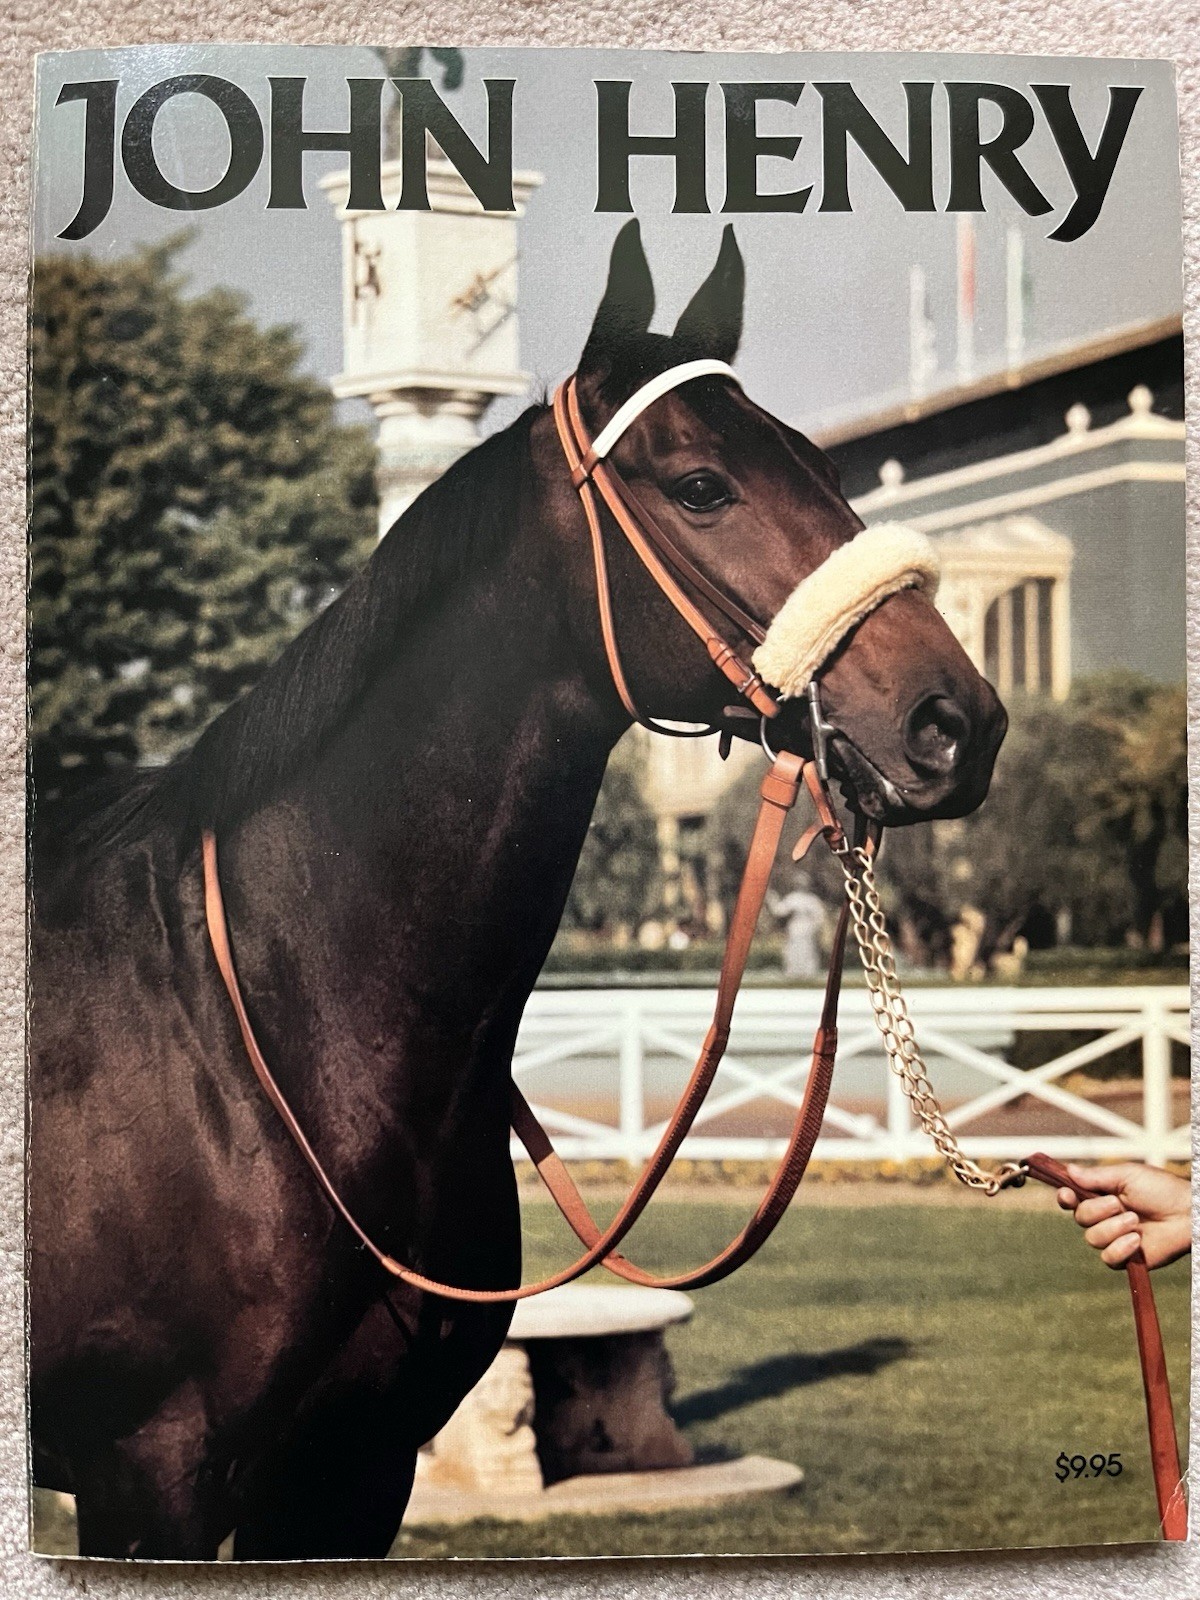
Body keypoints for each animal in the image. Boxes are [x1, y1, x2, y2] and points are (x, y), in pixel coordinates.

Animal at [28, 220, 1007, 1560]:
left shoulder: (347, 1472)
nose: (957, 720)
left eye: (819, 462)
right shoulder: (149, 1477)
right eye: (701, 484)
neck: (263, 1031)